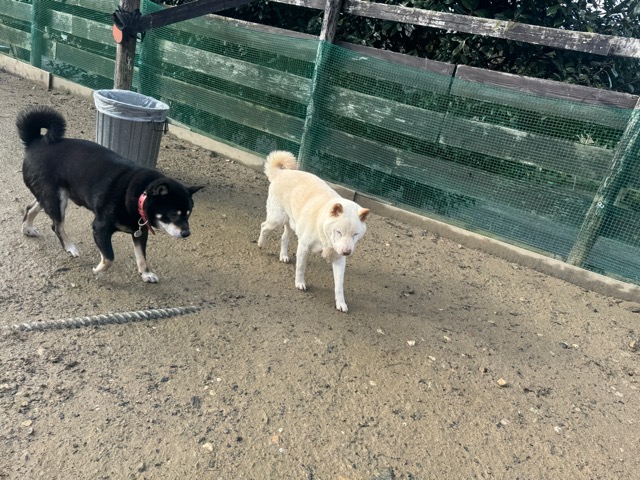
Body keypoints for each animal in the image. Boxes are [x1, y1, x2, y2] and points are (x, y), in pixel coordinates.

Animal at [17, 105, 202, 282]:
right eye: (173, 214)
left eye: (188, 214)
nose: (186, 233)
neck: (138, 196)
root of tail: (36, 142)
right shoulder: (100, 228)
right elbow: (110, 257)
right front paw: (98, 270)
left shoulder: (140, 232)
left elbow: (141, 256)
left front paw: (146, 273)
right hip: (56, 199)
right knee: (57, 226)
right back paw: (70, 247)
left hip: (50, 195)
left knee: (30, 208)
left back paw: (27, 228)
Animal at [258, 150, 370, 312]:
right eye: (339, 232)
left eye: (355, 234)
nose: (347, 252)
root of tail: (282, 173)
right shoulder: (303, 247)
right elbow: (300, 267)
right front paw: (299, 283)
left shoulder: (339, 259)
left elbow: (339, 285)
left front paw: (341, 303)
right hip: (276, 219)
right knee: (263, 226)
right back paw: (261, 243)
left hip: (292, 224)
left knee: (284, 238)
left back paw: (283, 255)